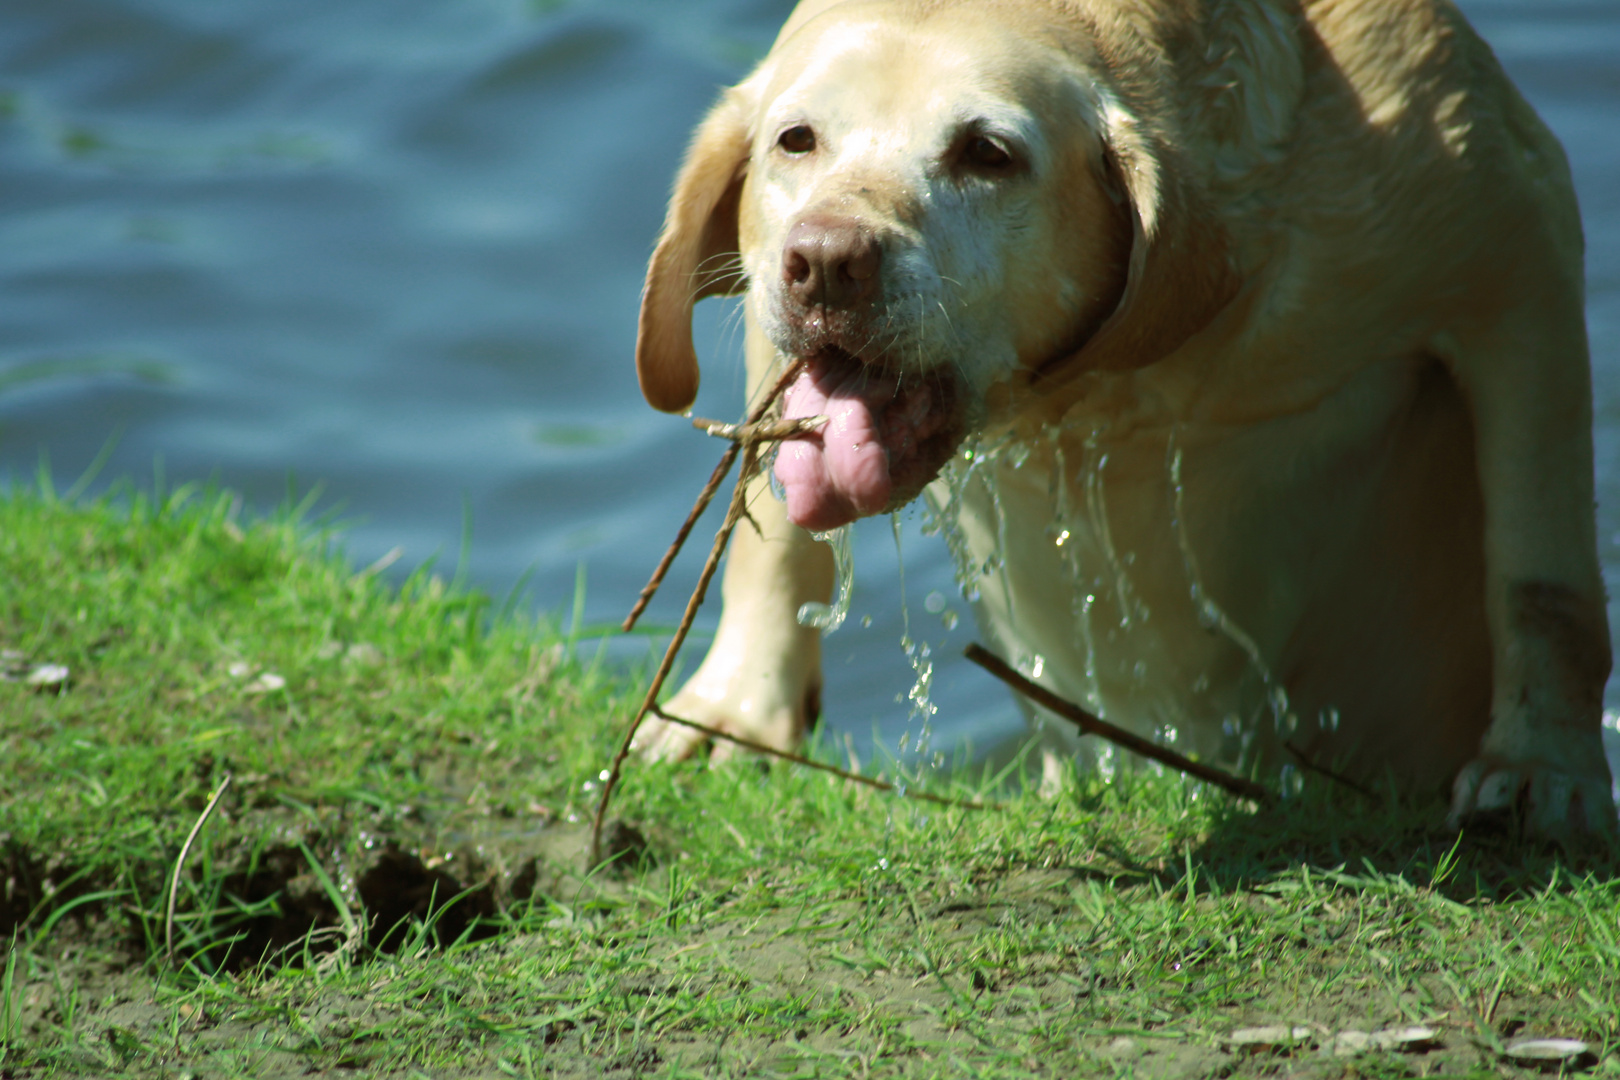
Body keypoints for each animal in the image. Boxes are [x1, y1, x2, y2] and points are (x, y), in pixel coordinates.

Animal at [631, 0, 1620, 841]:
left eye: (988, 153)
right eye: (795, 141)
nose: (828, 262)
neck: (1100, 386)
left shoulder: (1511, 244)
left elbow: (1544, 580)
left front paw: (1544, 767)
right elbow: (766, 535)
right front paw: (737, 708)